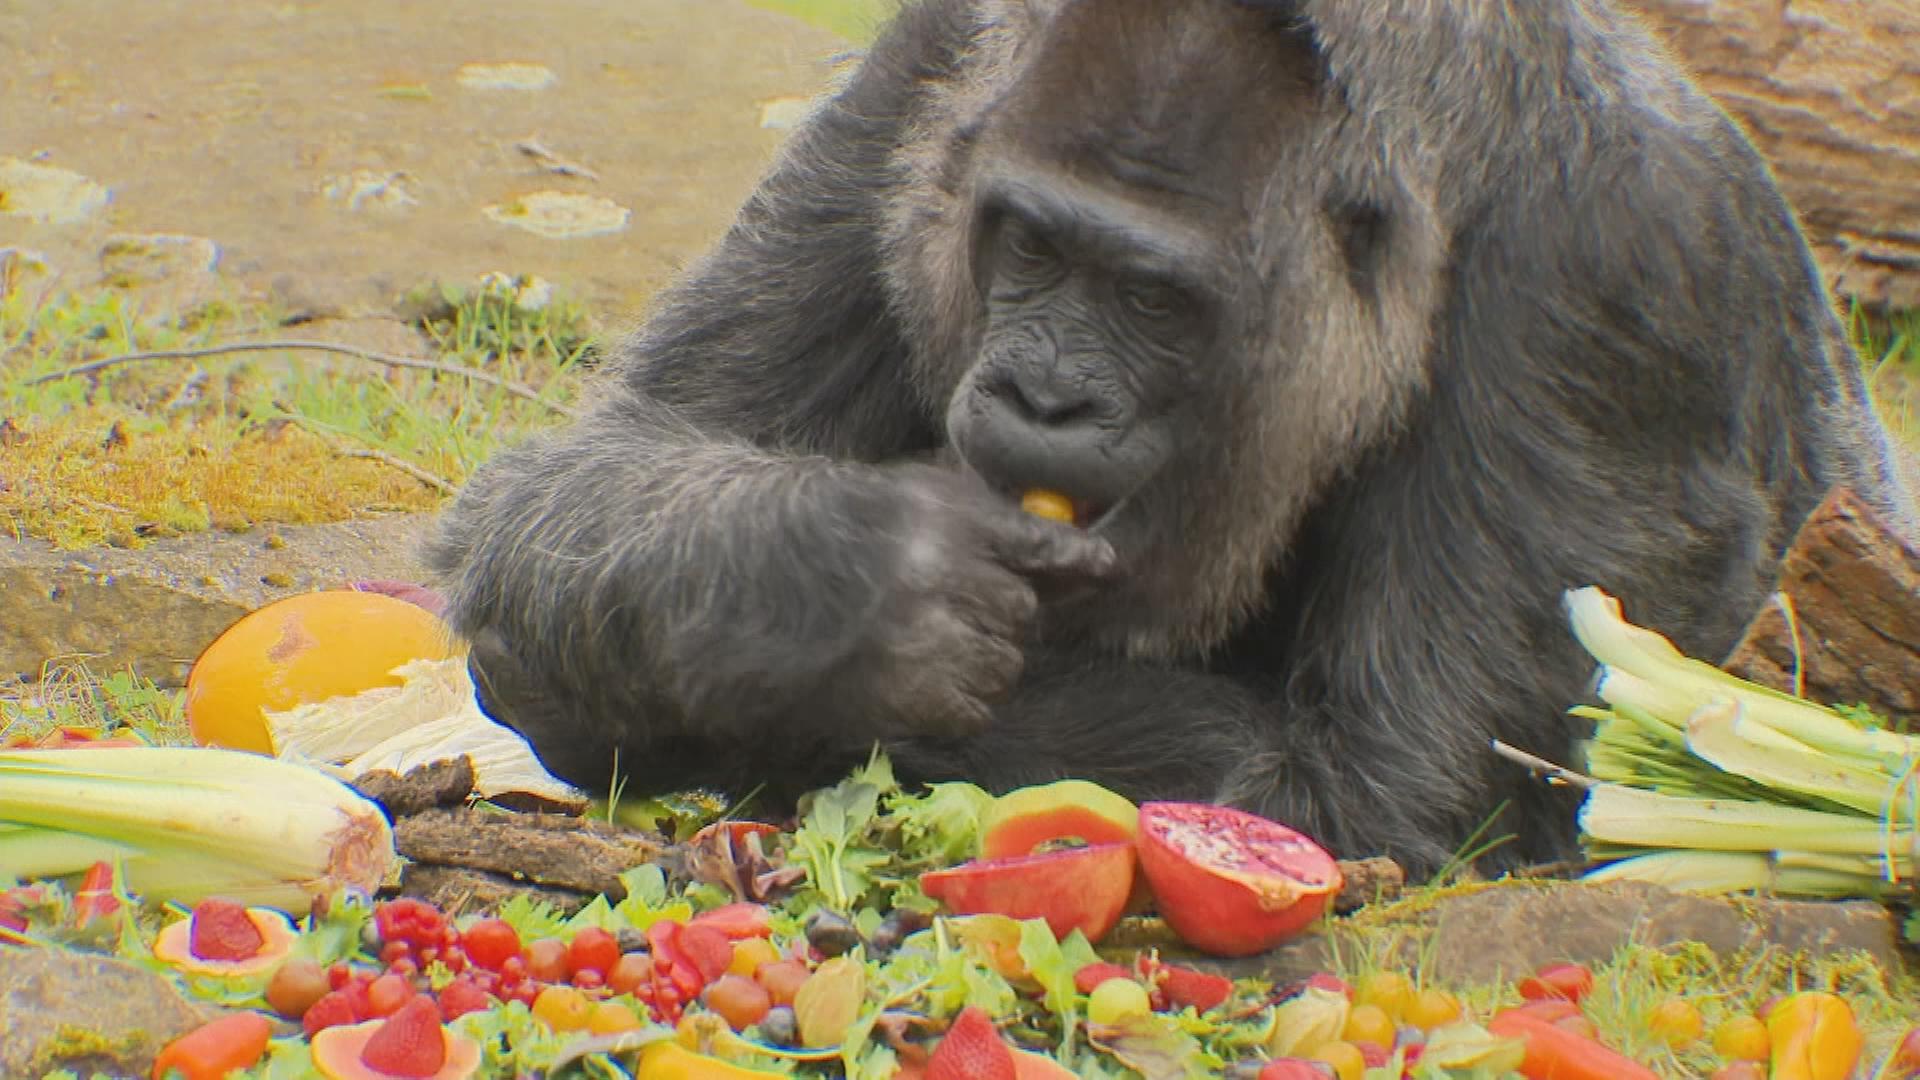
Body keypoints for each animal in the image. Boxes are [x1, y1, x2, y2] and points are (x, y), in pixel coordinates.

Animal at [426, 0, 1911, 876]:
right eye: (1030, 247)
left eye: (1151, 298)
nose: (1045, 400)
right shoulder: (932, 64)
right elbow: (596, 477)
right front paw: (822, 591)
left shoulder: (1613, 265)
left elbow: (1380, 805)